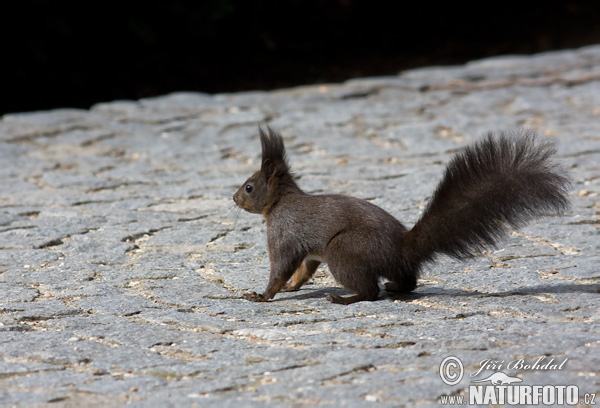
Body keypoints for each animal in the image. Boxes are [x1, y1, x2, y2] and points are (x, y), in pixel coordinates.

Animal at [232, 126, 568, 302]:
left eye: (249, 187)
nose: (233, 198)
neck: (279, 203)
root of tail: (402, 248)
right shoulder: (309, 252)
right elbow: (303, 270)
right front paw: (292, 287)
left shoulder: (284, 235)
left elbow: (281, 267)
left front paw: (263, 295)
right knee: (408, 281)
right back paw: (396, 287)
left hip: (343, 250)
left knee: (370, 291)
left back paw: (344, 297)